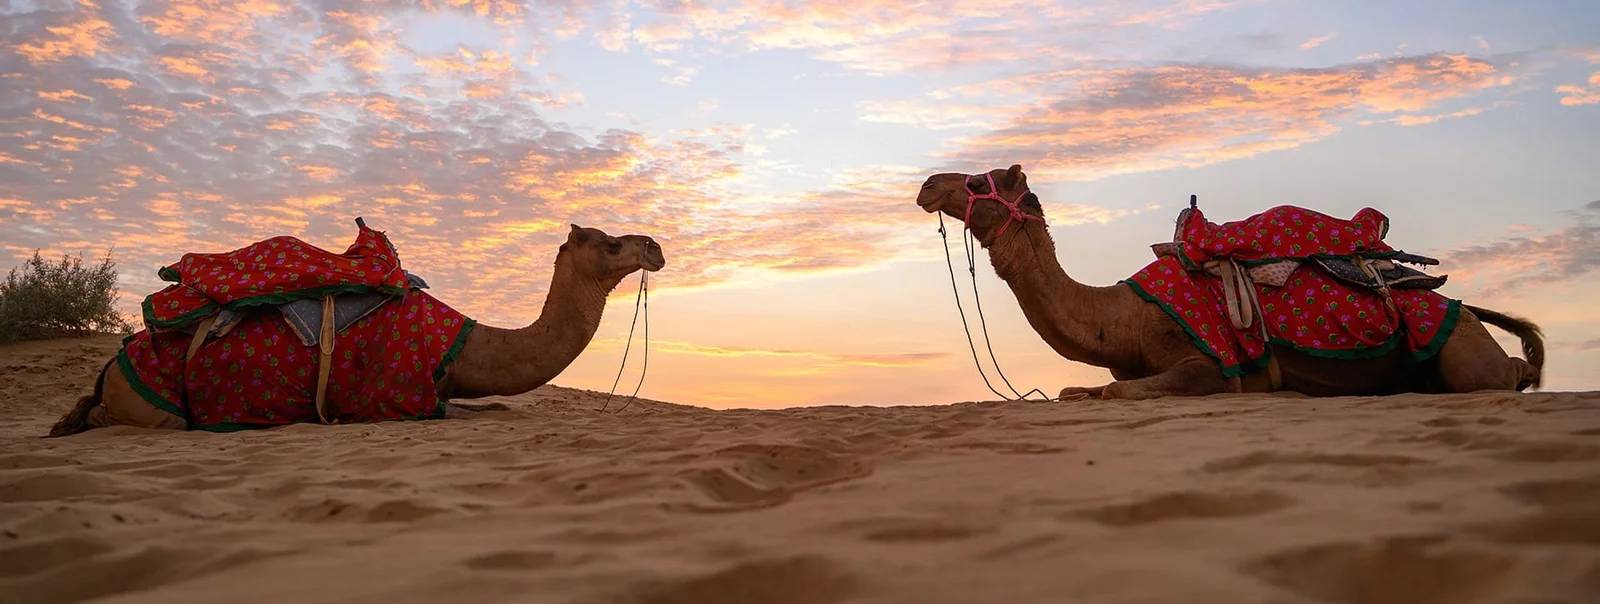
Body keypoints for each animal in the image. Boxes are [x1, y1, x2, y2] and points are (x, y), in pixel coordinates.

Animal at [49, 224, 664, 435]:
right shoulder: (397, 396)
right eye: (612, 243)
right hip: (152, 406)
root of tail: (111, 368)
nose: (655, 246)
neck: (463, 346)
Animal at [916, 164, 1544, 399]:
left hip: (1462, 350)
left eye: (978, 181)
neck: (1122, 318)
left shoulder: (1209, 363)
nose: (926, 185)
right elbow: (1080, 391)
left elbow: (1122, 392)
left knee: (1502, 374)